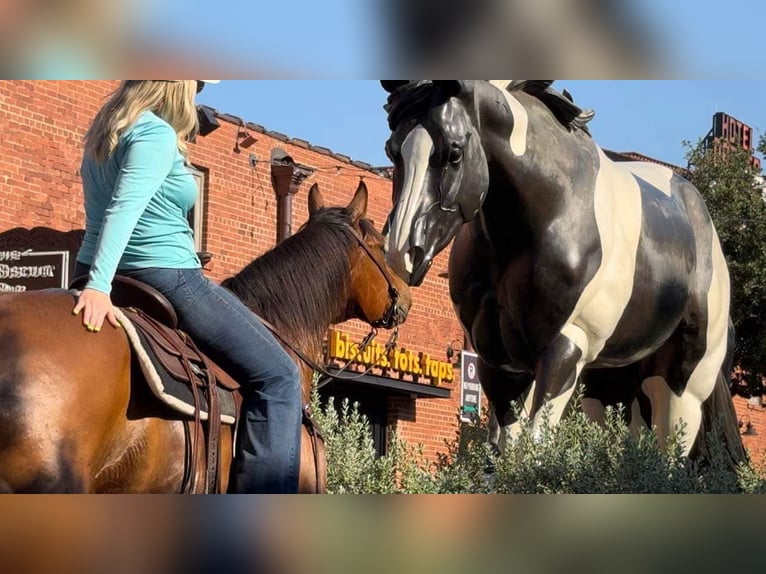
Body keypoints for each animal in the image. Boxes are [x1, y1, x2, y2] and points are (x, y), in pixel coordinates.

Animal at [380, 80, 745, 463]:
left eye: (454, 152)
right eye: (392, 151)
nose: (402, 251)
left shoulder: (566, 347)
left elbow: (536, 444)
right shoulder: (497, 360)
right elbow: (504, 449)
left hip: (680, 387)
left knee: (669, 457)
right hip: (611, 386)